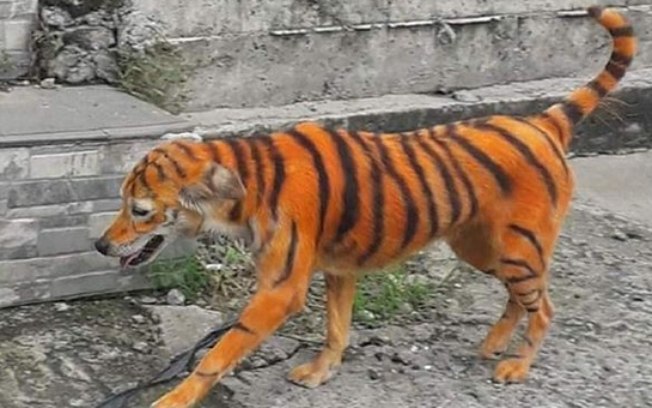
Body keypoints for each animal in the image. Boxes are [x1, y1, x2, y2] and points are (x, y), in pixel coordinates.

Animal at [94, 6, 635, 408]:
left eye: (139, 210)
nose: (99, 245)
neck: (244, 183)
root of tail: (542, 121)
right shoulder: (338, 269)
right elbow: (337, 328)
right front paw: (321, 372)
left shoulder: (281, 288)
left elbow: (219, 353)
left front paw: (173, 399)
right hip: (483, 247)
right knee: (520, 298)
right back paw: (492, 344)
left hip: (518, 248)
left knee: (544, 306)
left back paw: (517, 365)